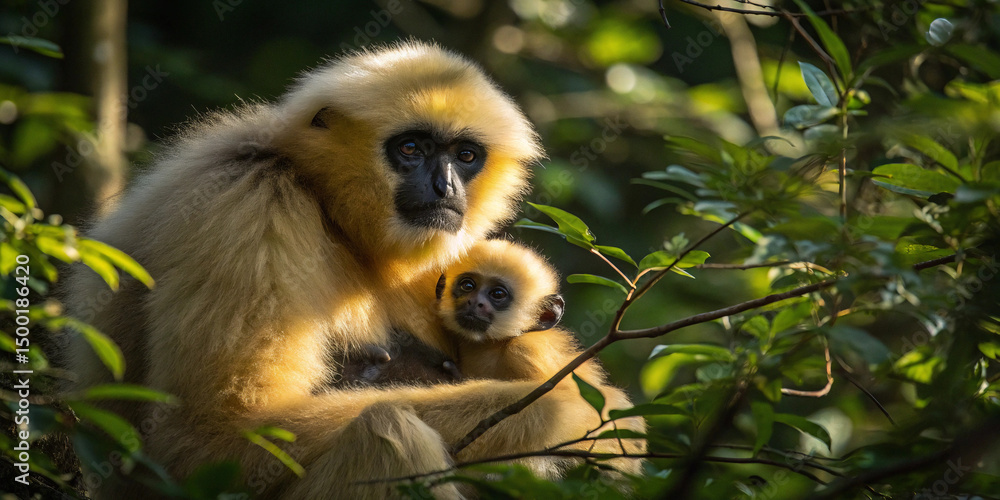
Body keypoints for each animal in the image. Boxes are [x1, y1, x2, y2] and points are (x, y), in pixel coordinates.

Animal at [64, 41, 644, 499]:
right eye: (410, 149)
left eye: (465, 155)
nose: (444, 187)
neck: (321, 202)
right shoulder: (246, 207)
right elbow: (211, 433)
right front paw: (579, 415)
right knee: (385, 432)